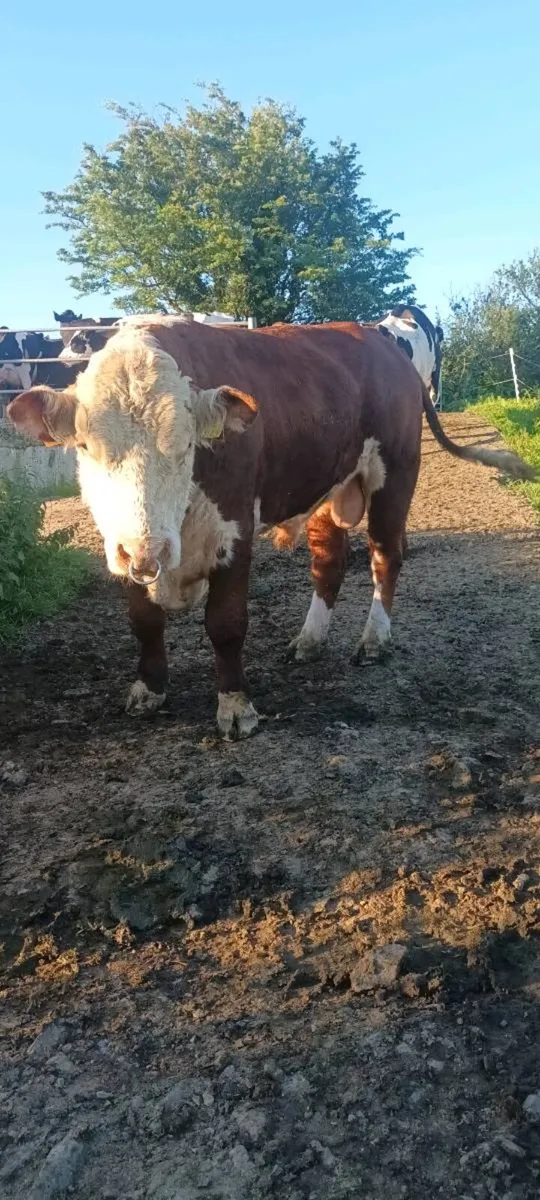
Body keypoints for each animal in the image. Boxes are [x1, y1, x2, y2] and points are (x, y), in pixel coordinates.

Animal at [8, 319, 534, 739]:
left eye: (184, 446)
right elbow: (144, 620)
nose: (147, 550)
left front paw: (236, 707)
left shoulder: (234, 531)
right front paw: (149, 689)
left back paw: (373, 640)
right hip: (326, 489)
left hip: (397, 471)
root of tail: (378, 338)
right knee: (329, 564)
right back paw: (310, 640)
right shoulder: (125, 546)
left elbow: (226, 624)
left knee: (386, 555)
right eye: (86, 448)